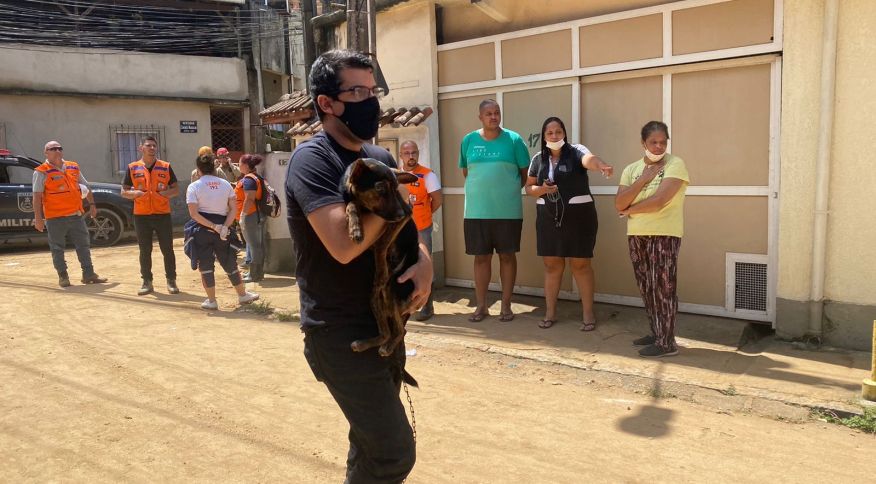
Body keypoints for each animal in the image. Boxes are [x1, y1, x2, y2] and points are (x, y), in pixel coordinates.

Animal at [342, 157, 420, 364]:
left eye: (396, 188)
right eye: (380, 188)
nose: (399, 214)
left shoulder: (405, 212)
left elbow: (381, 243)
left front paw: (381, 266)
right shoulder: (354, 201)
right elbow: (351, 204)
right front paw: (355, 228)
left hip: (393, 290)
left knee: (400, 331)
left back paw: (387, 347)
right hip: (375, 297)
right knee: (387, 333)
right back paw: (364, 344)